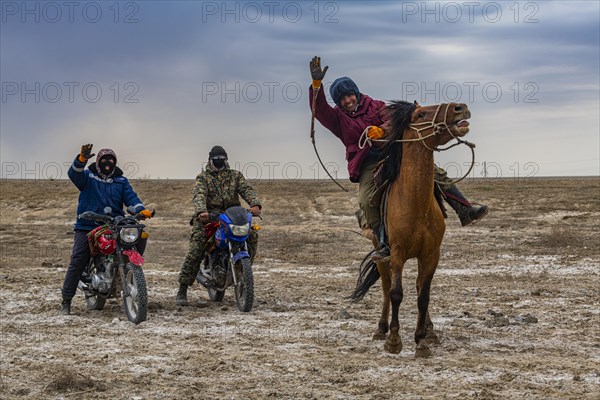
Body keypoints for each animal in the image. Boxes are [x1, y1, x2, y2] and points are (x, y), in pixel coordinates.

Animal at [350, 100, 472, 356]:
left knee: (417, 287)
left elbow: (423, 296)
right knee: (386, 287)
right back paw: (381, 328)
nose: (460, 107)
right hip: (381, 254)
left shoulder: (431, 255)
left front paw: (421, 340)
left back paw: (431, 330)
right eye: (421, 114)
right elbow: (396, 293)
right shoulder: (397, 253)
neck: (415, 202)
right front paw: (394, 340)